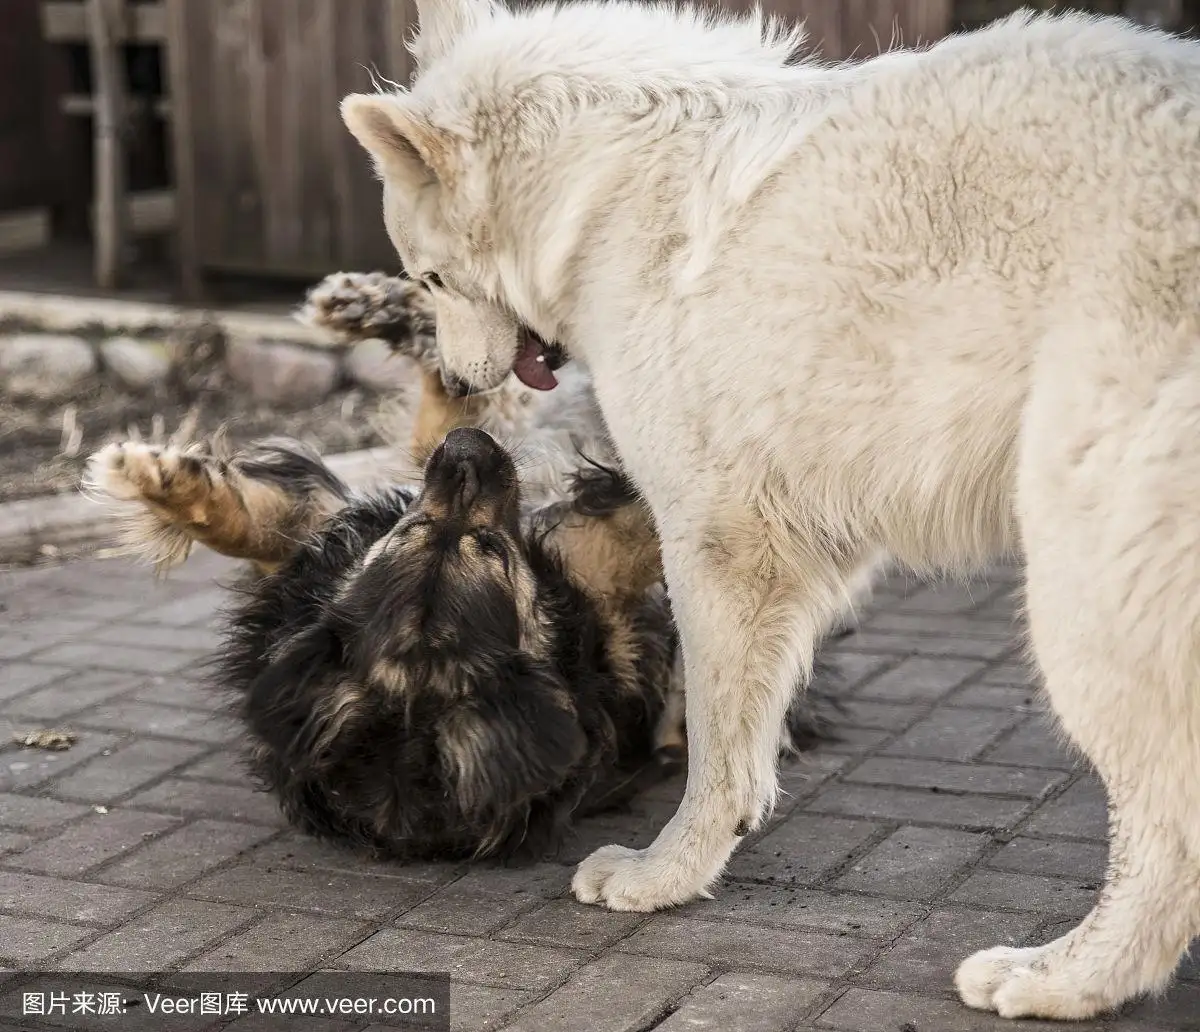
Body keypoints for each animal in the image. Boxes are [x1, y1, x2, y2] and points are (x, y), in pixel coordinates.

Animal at [338, 6, 1200, 1022]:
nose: (464, 387)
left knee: (1165, 831)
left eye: (429, 279)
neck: (603, 195)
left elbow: (714, 739)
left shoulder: (713, 540)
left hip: (1077, 605)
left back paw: (1065, 978)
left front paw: (666, 874)